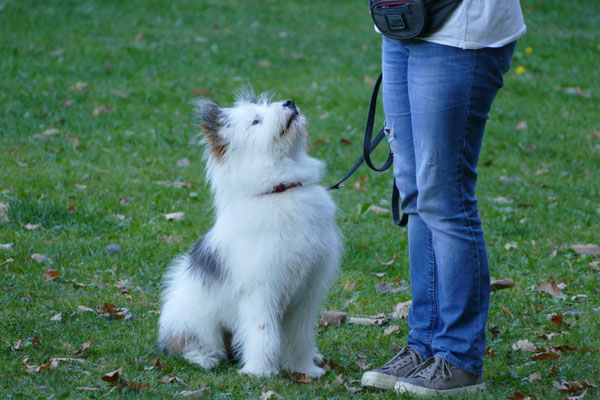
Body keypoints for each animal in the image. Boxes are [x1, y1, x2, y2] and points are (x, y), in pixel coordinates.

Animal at [157, 88, 340, 378]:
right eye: (256, 121)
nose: (289, 103)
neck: (280, 189)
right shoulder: (261, 289)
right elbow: (262, 331)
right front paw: (260, 371)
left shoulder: (306, 291)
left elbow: (299, 336)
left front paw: (303, 368)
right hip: (198, 322)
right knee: (187, 344)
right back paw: (204, 357)